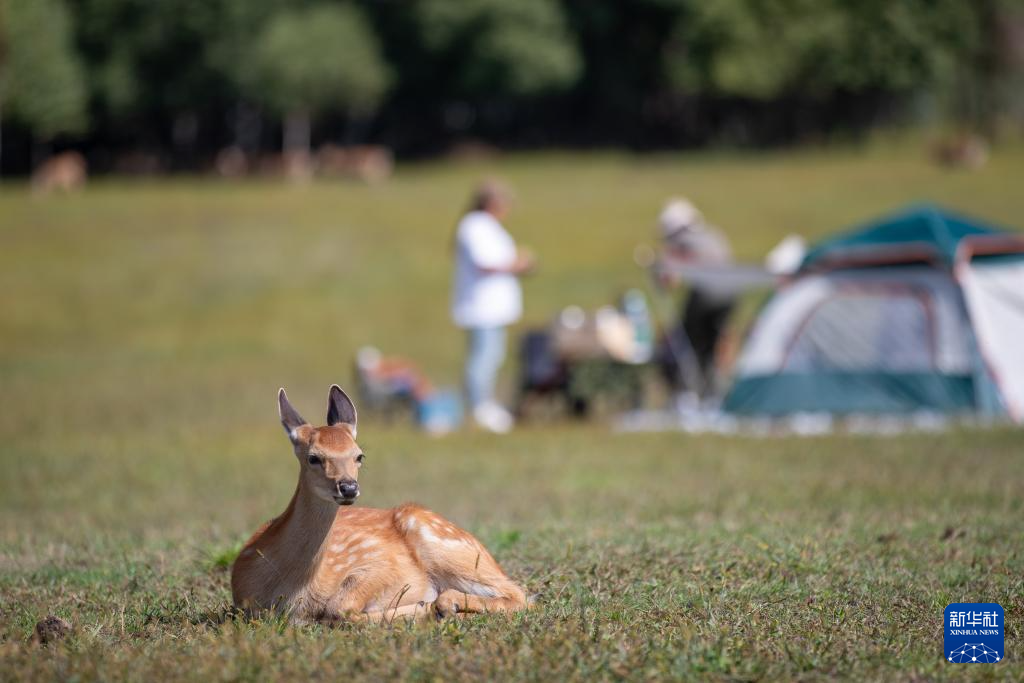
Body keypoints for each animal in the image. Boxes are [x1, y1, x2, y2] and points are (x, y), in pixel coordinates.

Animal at [233, 385, 532, 626]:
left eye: (359, 455)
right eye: (313, 457)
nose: (348, 487)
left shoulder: (383, 564)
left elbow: (339, 608)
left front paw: (423, 607)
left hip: (443, 542)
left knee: (521, 595)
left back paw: (445, 605)